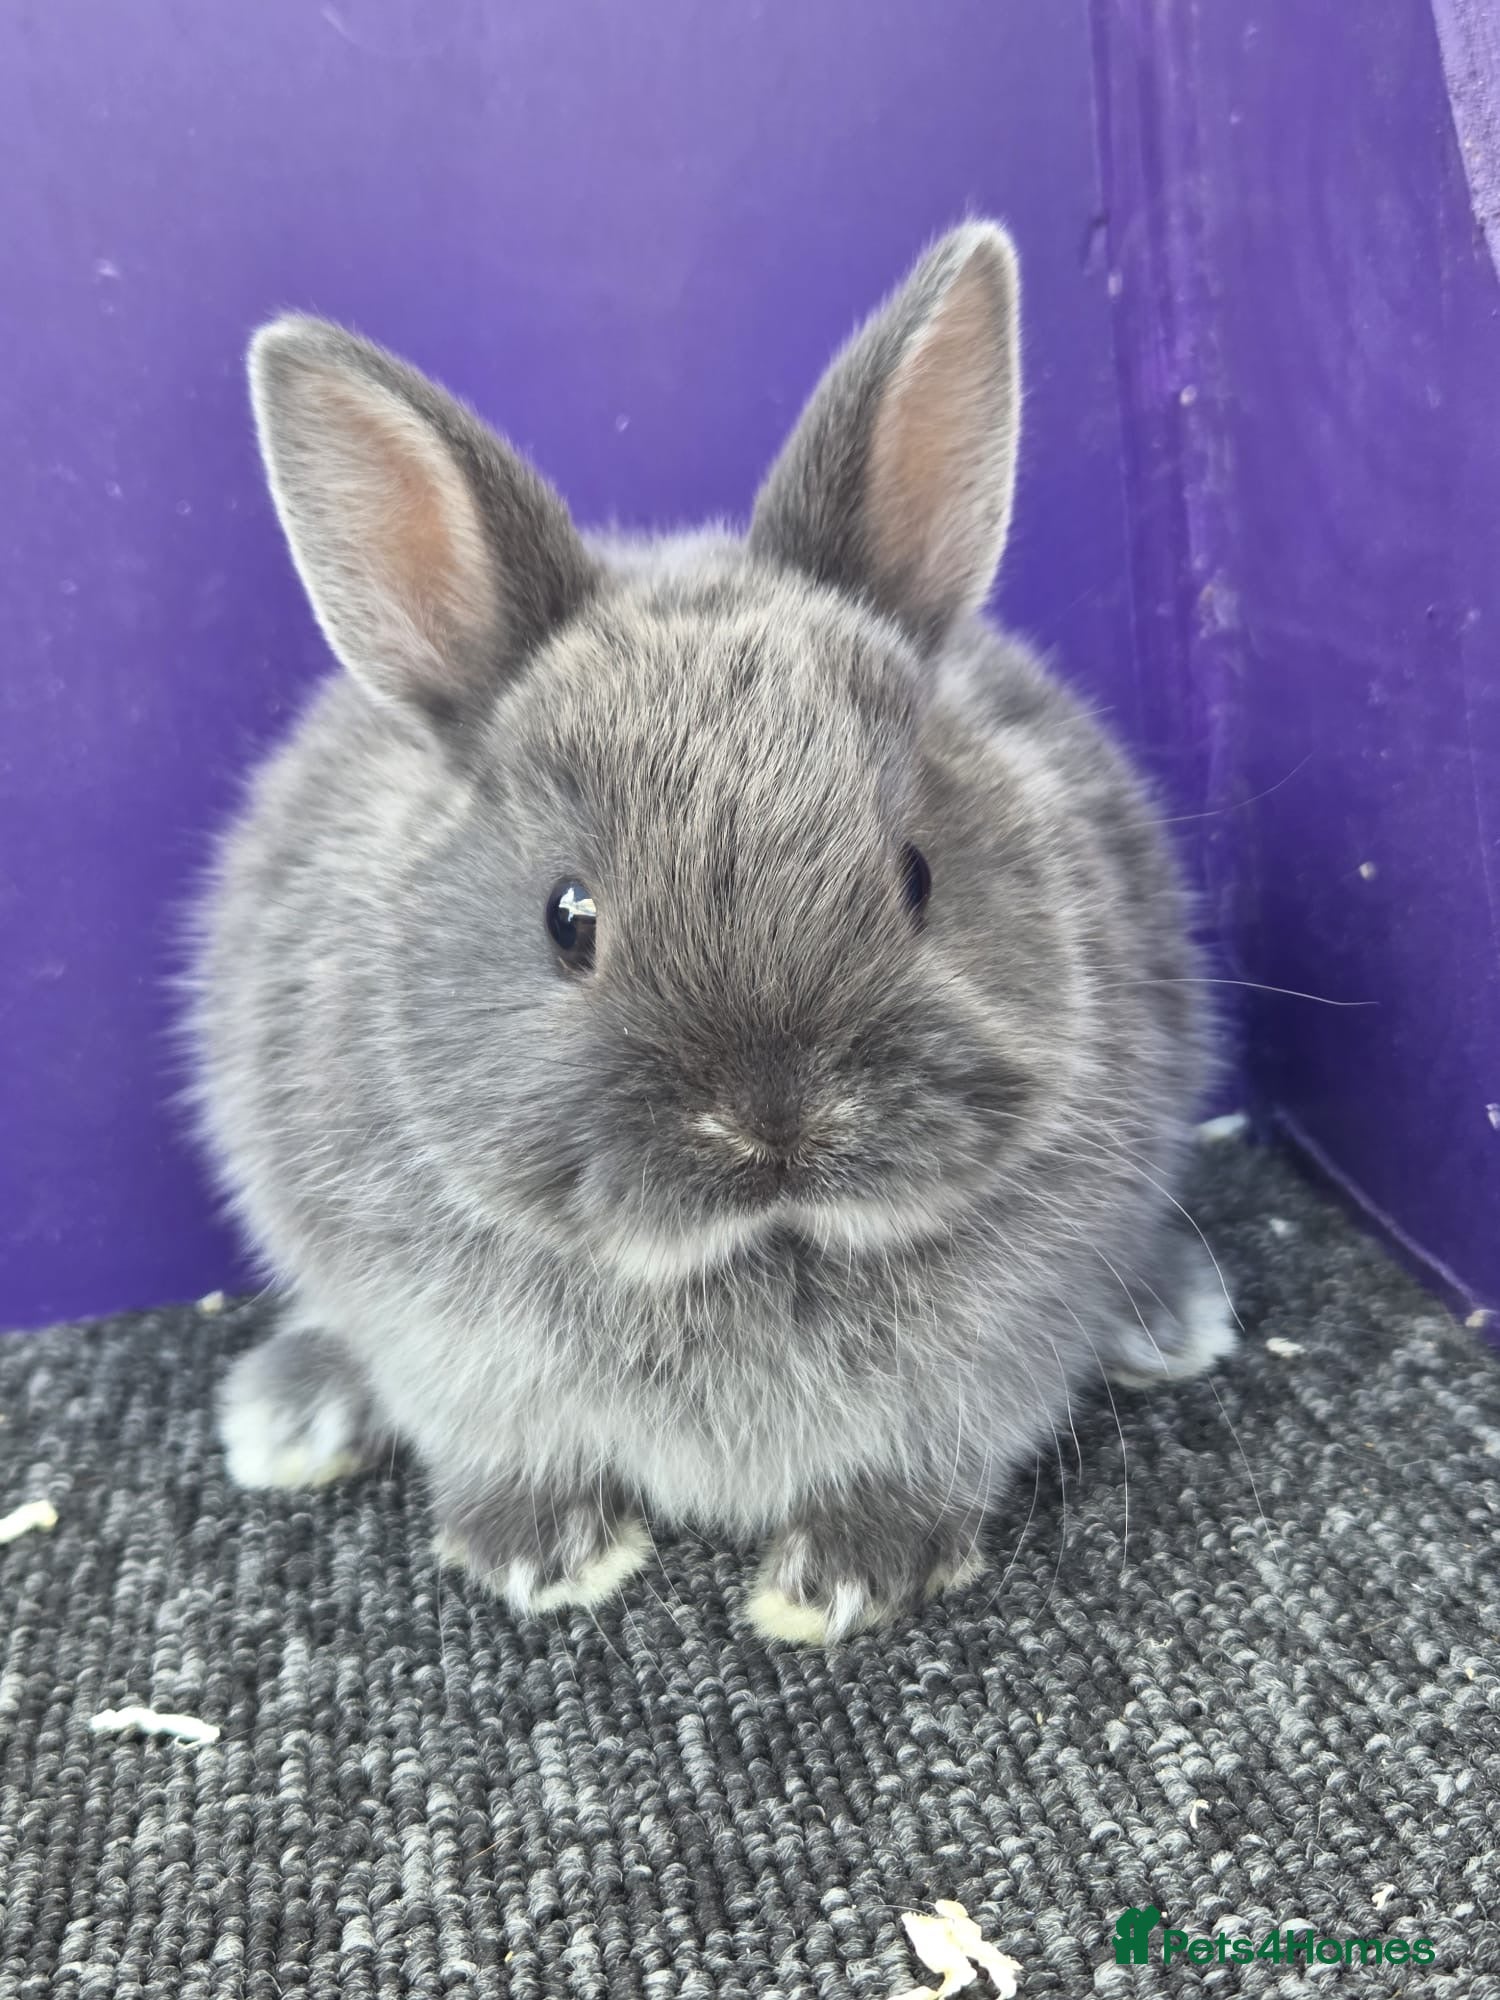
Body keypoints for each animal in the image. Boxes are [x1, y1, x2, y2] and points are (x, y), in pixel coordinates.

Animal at [192, 223, 1234, 1645]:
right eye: (568, 917)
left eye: (917, 875)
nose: (776, 1121)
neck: (754, 1249)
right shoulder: (444, 1344)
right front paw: (544, 1553)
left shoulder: (993, 1358)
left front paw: (842, 1574)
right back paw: (291, 1412)